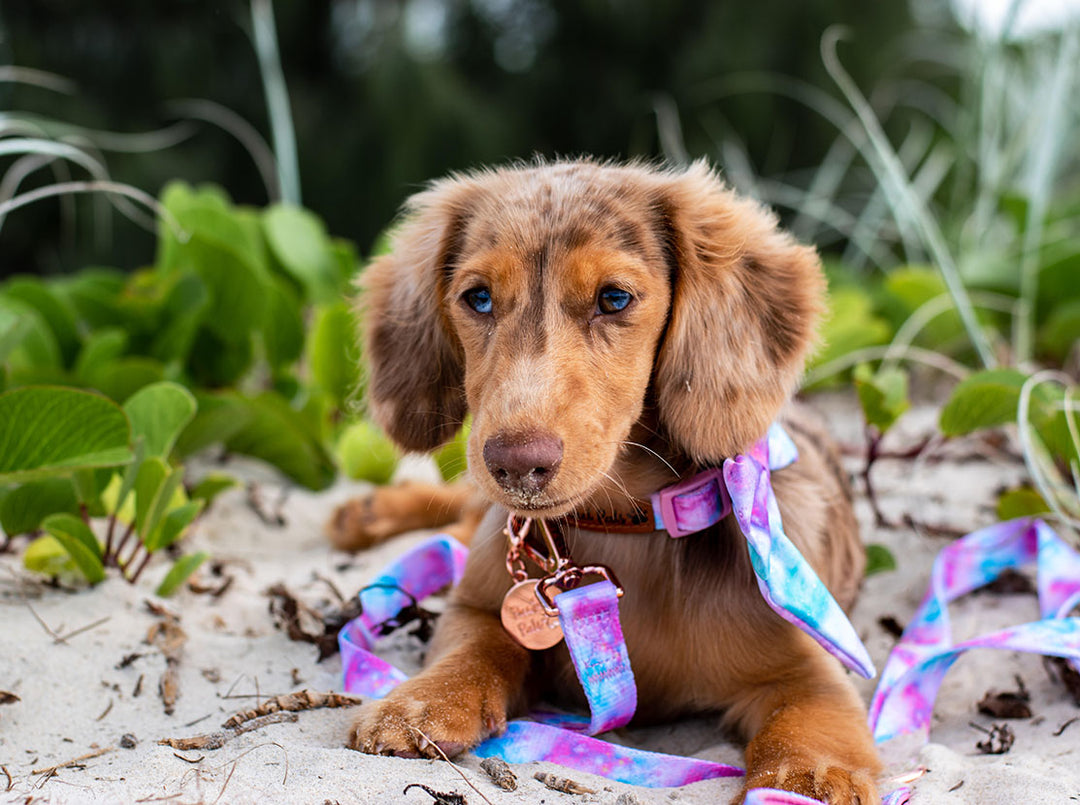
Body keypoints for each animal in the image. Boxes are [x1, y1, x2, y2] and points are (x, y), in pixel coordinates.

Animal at [330, 159, 885, 799]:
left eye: (614, 298)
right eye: (478, 298)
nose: (515, 464)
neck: (627, 529)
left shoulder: (810, 669)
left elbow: (807, 724)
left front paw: (805, 779)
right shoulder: (479, 607)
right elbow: (473, 649)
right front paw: (420, 700)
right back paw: (364, 514)